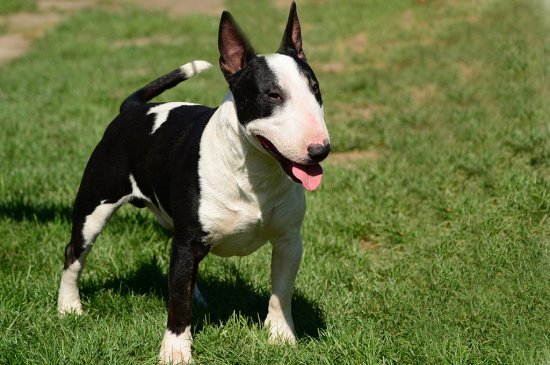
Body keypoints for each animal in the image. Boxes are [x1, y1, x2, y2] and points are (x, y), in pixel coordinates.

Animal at [57, 2, 330, 362]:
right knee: (75, 252)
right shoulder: (188, 243)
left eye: (315, 89)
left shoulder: (288, 240)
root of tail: (133, 108)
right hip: (94, 205)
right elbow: (178, 302)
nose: (321, 149)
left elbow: (280, 293)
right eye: (273, 94)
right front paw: (175, 350)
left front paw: (281, 337)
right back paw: (68, 307)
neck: (253, 172)